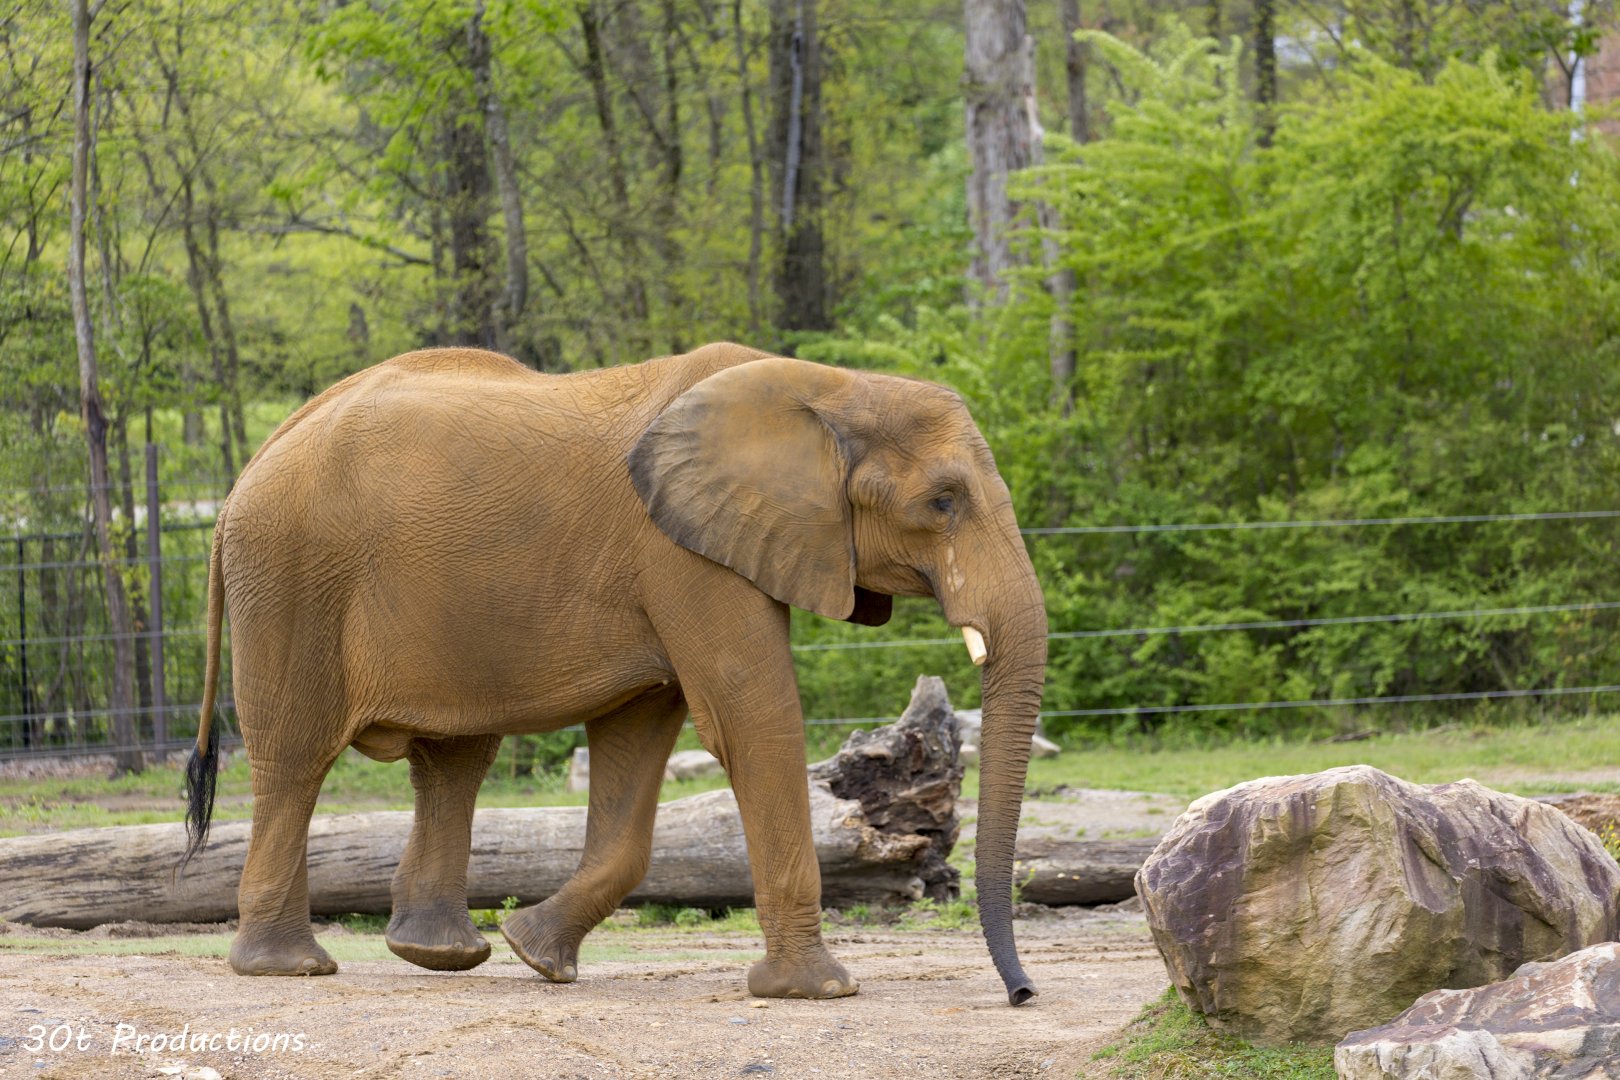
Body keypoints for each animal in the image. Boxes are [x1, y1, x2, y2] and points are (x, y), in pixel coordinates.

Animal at [181, 342, 1048, 1005]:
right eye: (943, 502)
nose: (1021, 992)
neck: (831, 386)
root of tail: (243, 475)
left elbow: (639, 740)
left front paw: (537, 953)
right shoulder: (682, 554)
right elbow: (752, 718)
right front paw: (818, 991)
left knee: (454, 759)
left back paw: (445, 956)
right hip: (292, 579)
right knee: (296, 759)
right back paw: (290, 967)